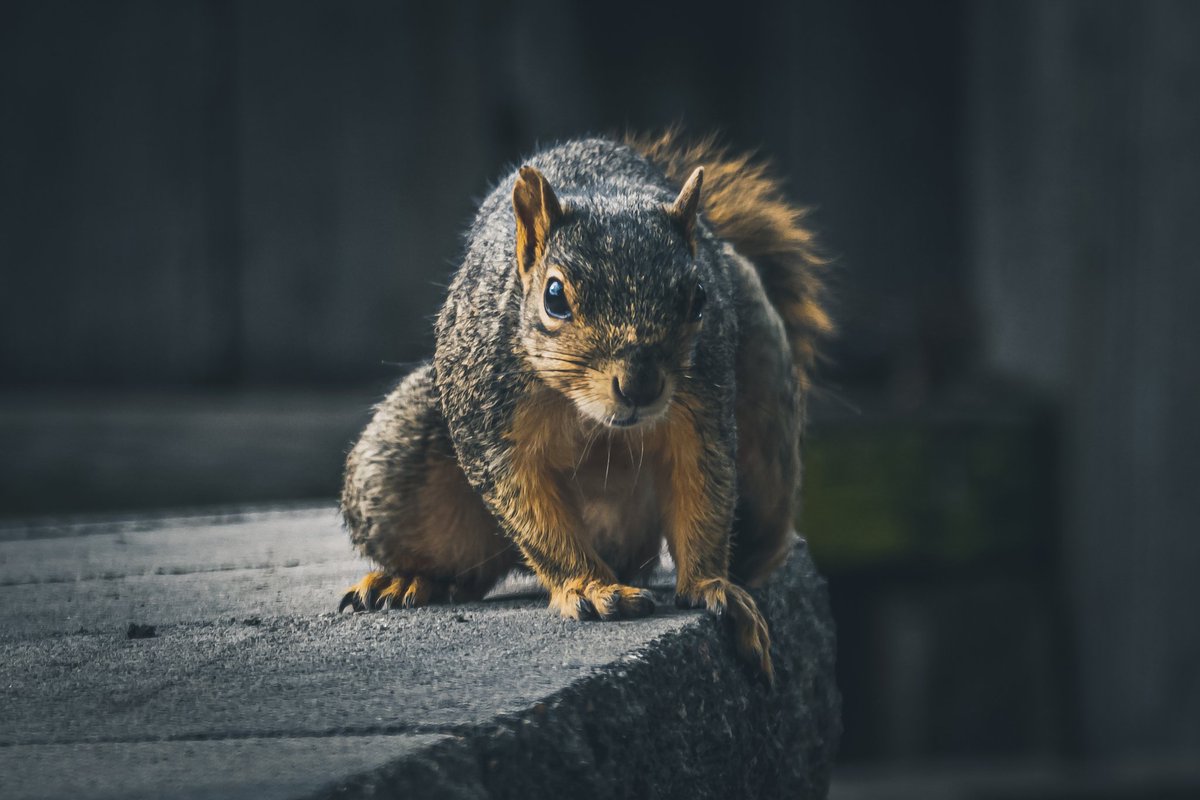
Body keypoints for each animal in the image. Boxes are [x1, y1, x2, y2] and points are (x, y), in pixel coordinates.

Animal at [338, 130, 831, 681]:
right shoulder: (487, 418)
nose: (640, 385)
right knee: (470, 568)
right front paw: (592, 588)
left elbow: (704, 488)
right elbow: (532, 512)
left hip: (764, 389)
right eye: (554, 296)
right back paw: (412, 581)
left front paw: (710, 584)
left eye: (699, 297)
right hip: (396, 471)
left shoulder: (702, 404)